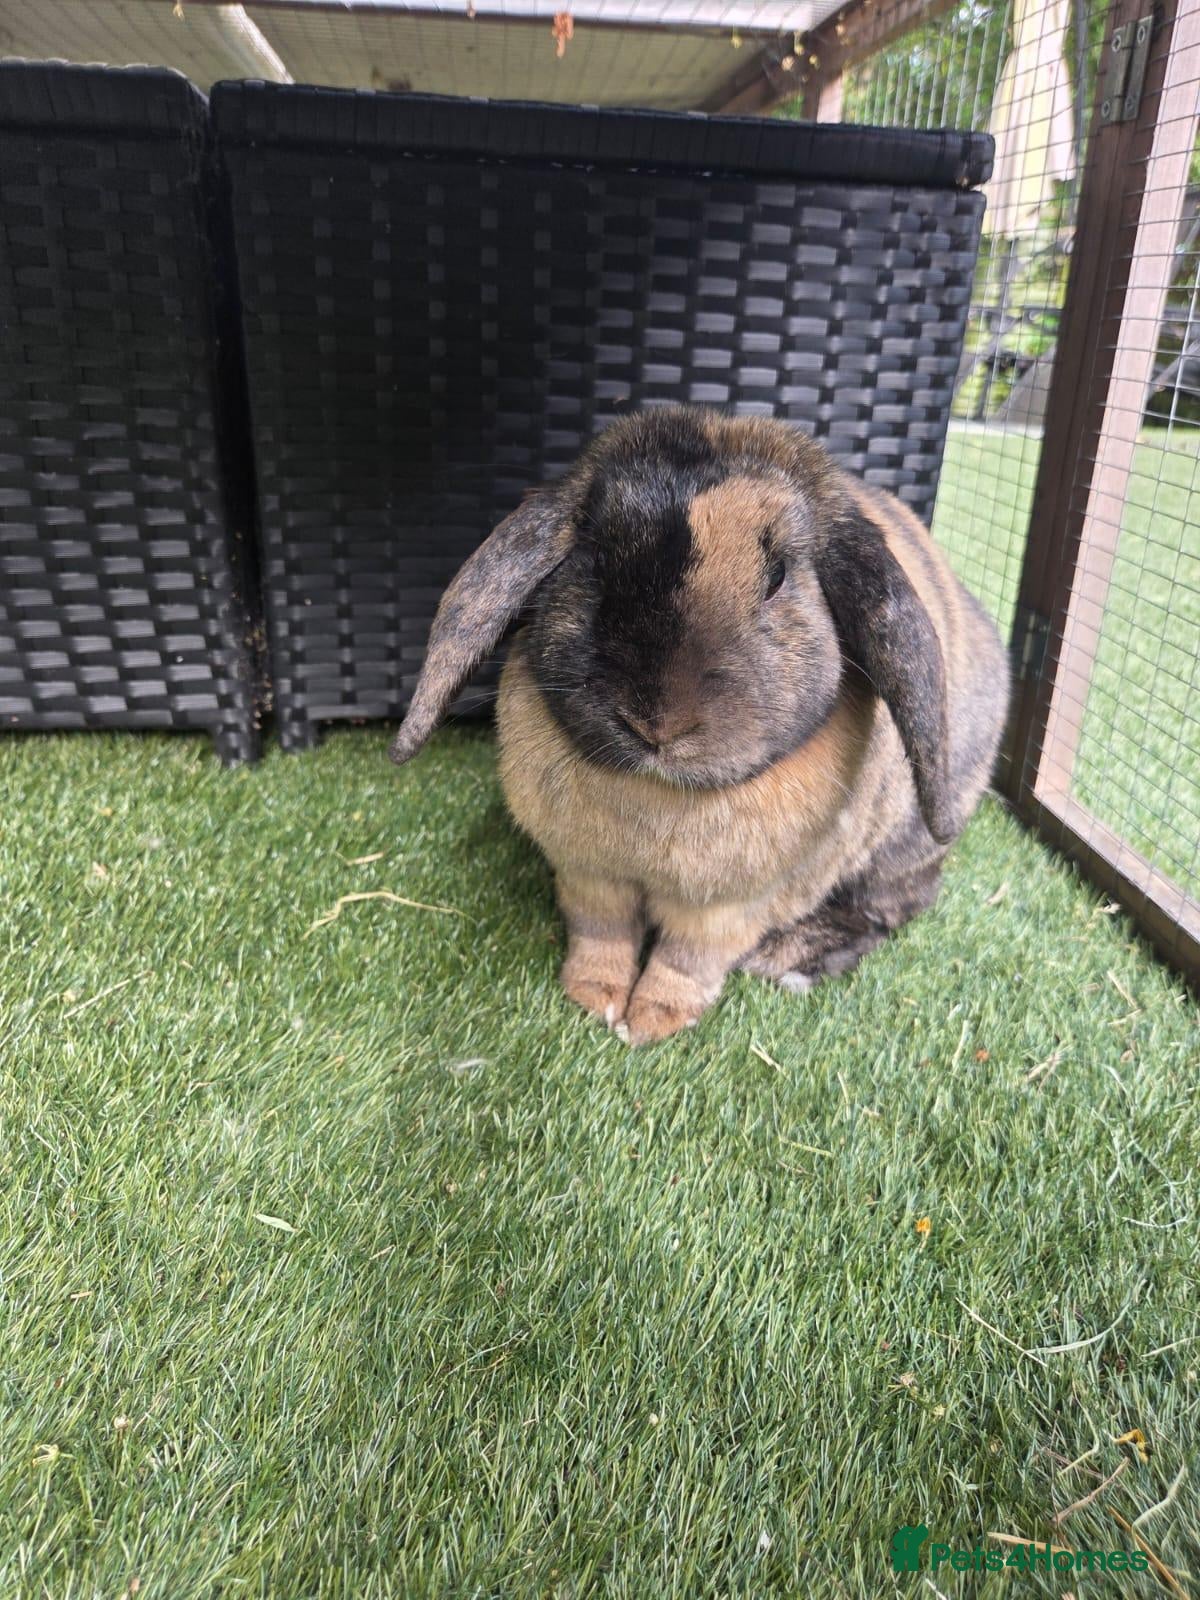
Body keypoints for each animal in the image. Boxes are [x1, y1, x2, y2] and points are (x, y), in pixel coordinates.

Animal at [389, 406, 1009, 1044]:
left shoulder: (727, 911)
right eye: (594, 559)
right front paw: (595, 997)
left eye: (778, 576)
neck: (657, 794)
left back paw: (789, 959)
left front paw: (652, 1022)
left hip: (902, 849)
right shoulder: (588, 878)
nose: (655, 724)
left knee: (894, 904)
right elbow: (600, 937)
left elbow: (687, 961)